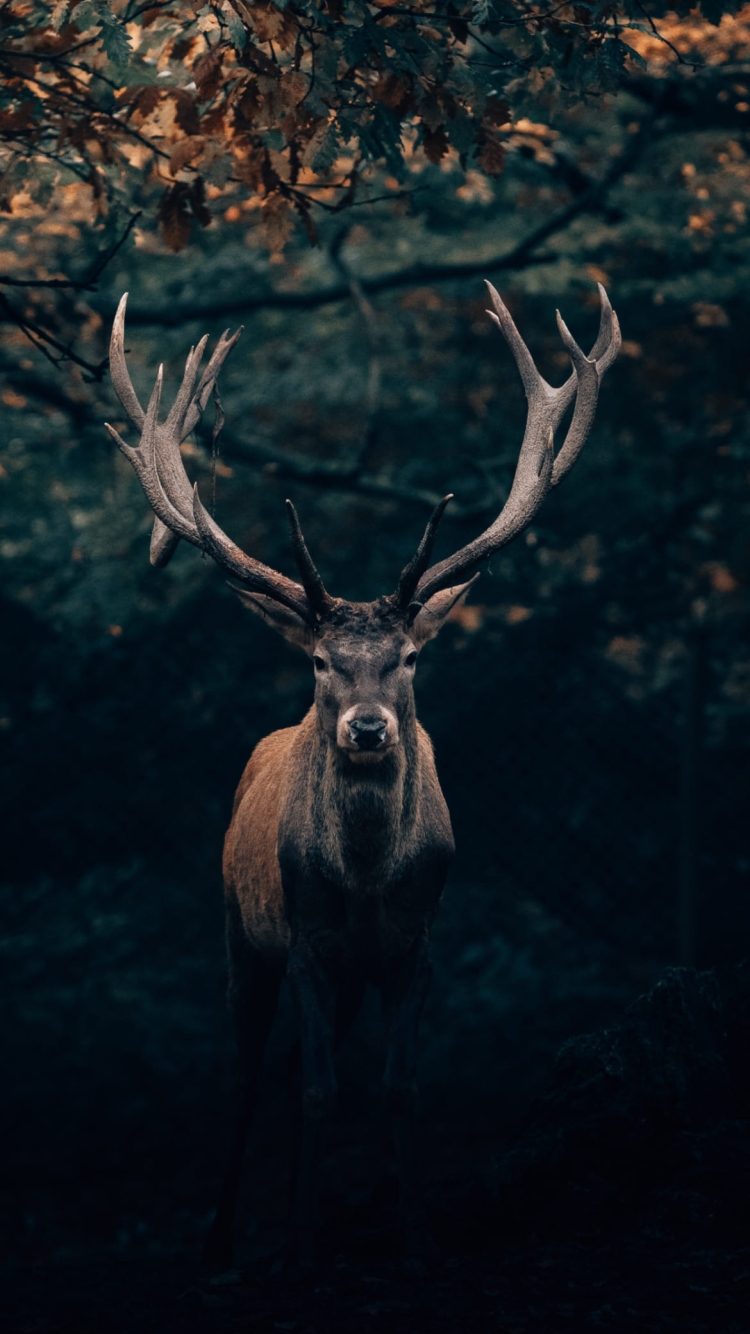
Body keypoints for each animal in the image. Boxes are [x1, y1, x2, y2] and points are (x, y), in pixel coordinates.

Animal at [105, 281, 620, 1269]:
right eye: (318, 662)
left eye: (410, 657)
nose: (369, 727)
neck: (372, 880)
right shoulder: (307, 941)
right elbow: (315, 1091)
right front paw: (302, 1241)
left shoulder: (415, 947)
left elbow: (396, 1088)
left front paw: (412, 1234)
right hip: (240, 934)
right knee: (250, 1076)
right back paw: (225, 1238)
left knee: (296, 1069)